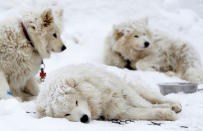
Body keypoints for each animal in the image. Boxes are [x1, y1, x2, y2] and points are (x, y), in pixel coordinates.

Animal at [36, 64, 181, 123]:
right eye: (66, 114)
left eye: (76, 102)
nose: (84, 118)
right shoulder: (116, 110)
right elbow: (140, 112)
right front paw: (166, 113)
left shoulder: (120, 90)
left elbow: (144, 104)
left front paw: (167, 110)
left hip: (133, 86)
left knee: (153, 97)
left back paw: (174, 105)